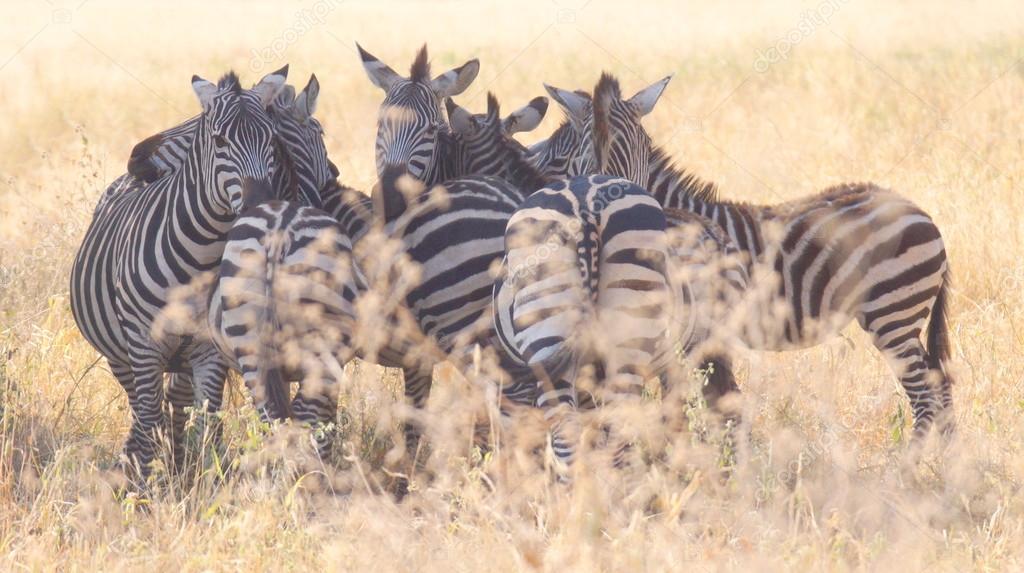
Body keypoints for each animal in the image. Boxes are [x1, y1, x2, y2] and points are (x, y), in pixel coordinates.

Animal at [70, 67, 289, 477]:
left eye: (271, 141)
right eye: (218, 140)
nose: (259, 205)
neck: (199, 255)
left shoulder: (208, 349)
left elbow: (207, 421)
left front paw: (205, 477)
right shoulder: (142, 345)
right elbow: (149, 419)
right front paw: (144, 484)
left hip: (180, 357)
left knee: (176, 401)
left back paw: (175, 463)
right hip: (120, 356)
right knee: (142, 411)